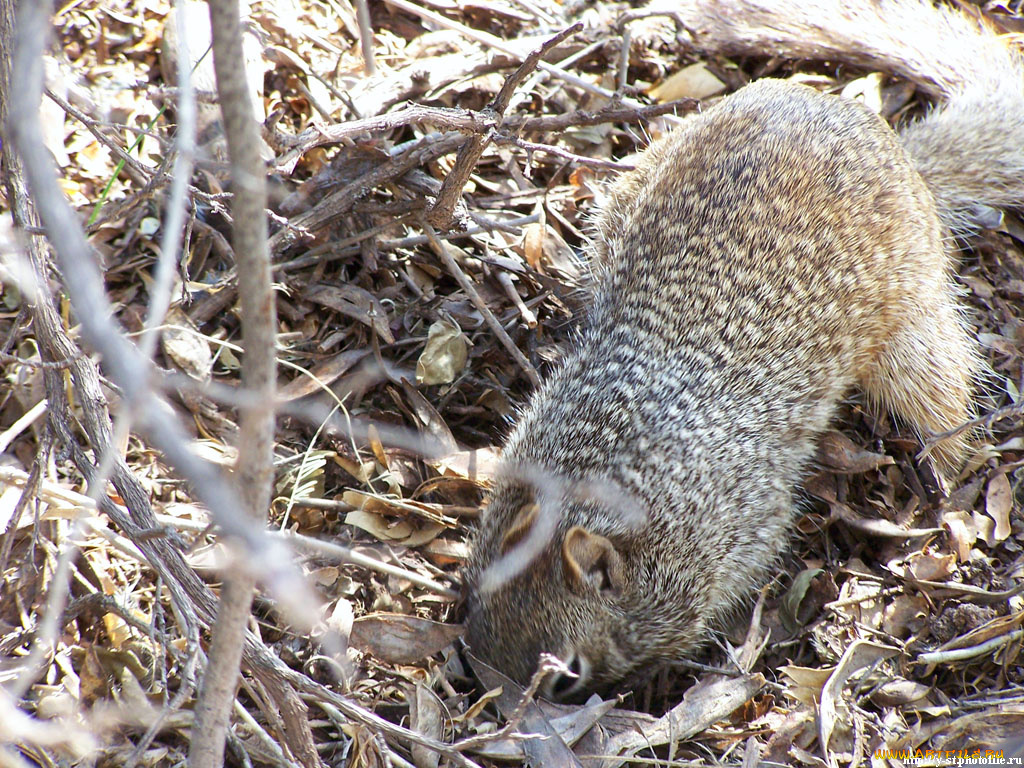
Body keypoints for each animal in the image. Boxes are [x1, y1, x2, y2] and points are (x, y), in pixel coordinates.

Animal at [464, 0, 1024, 704]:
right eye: (470, 617)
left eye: (566, 676)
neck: (590, 483)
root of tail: (898, 149)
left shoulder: (742, 529)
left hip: (912, 320)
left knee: (942, 393)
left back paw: (954, 470)